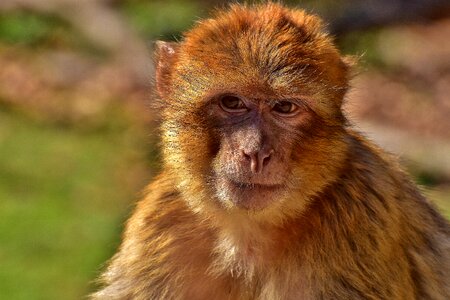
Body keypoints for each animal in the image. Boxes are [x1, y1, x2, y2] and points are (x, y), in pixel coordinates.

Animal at [93, 2, 448, 300]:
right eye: (232, 102)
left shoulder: (359, 216)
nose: (255, 153)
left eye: (285, 107)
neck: (248, 234)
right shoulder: (160, 225)